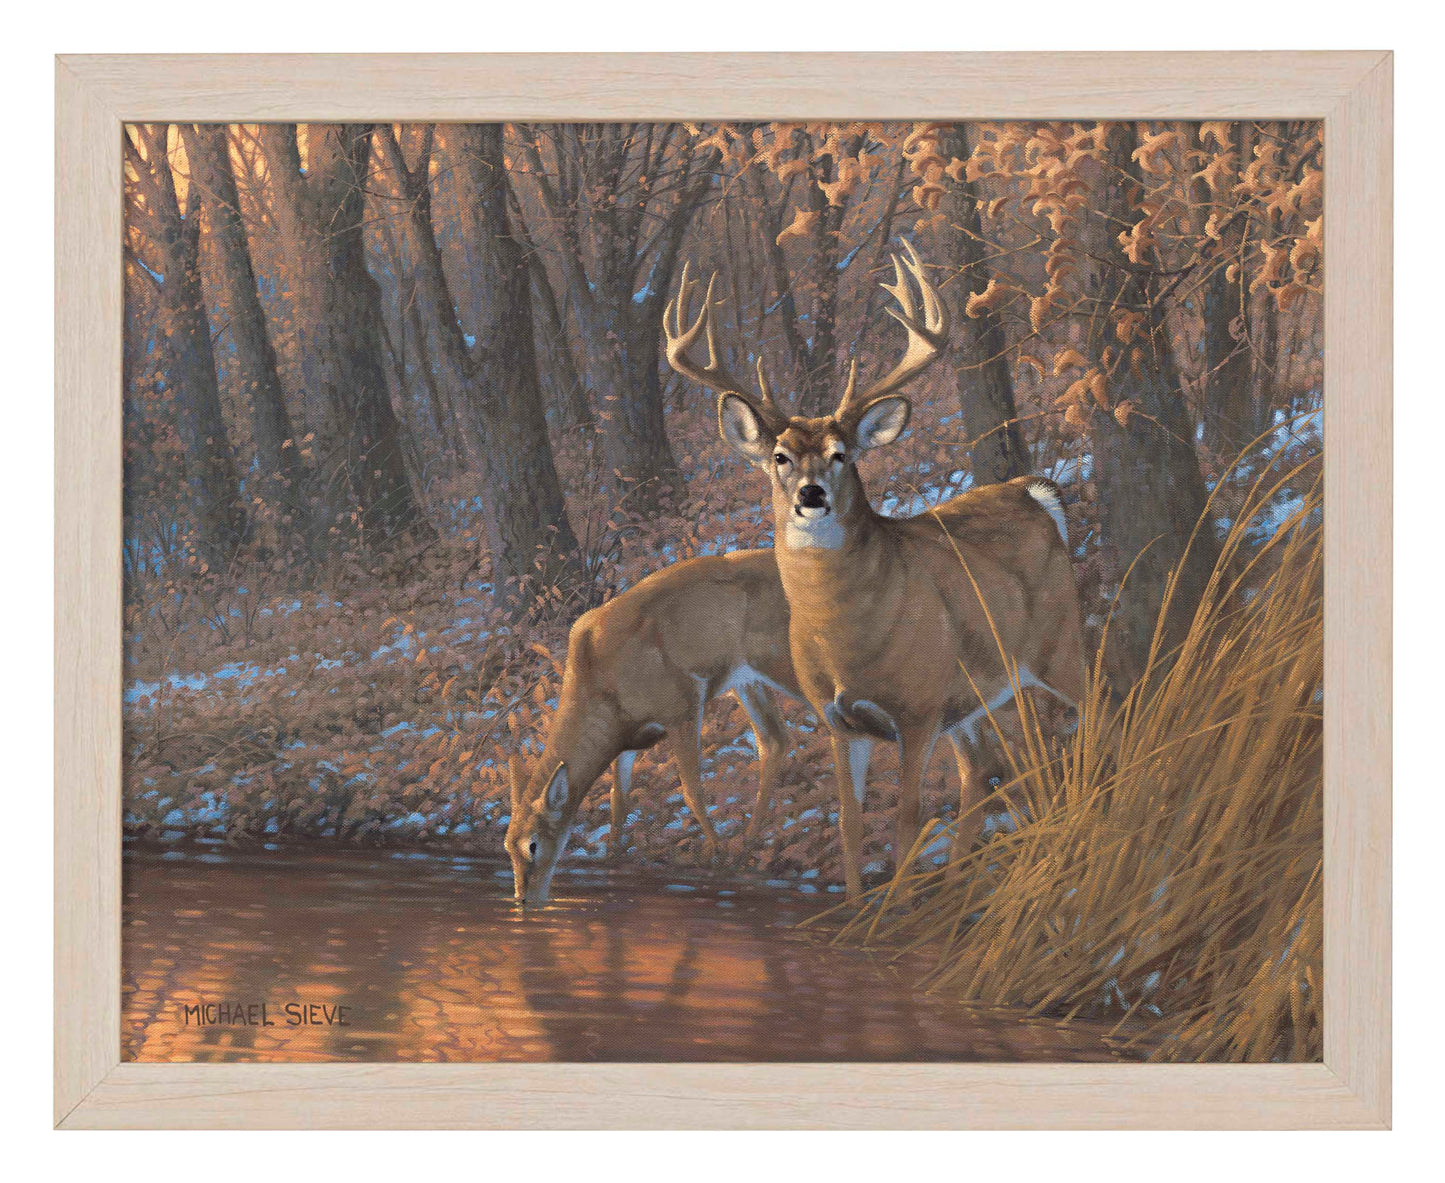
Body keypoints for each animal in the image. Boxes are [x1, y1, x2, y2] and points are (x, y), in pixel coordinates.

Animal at [505, 549, 877, 906]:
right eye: (507, 846)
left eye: (533, 845)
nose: (523, 898)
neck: (600, 686)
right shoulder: (626, 743)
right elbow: (618, 800)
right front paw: (613, 855)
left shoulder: (682, 704)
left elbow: (691, 789)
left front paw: (716, 852)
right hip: (747, 680)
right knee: (775, 739)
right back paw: (749, 843)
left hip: (787, 663)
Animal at [664, 245, 1087, 899]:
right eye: (779, 456)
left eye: (842, 454)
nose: (811, 494)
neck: (848, 638)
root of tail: (1032, 491)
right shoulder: (841, 720)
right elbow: (850, 825)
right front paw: (860, 910)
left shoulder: (916, 709)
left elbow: (907, 822)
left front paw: (895, 908)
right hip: (971, 692)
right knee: (985, 766)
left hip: (1056, 645)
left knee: (1101, 711)